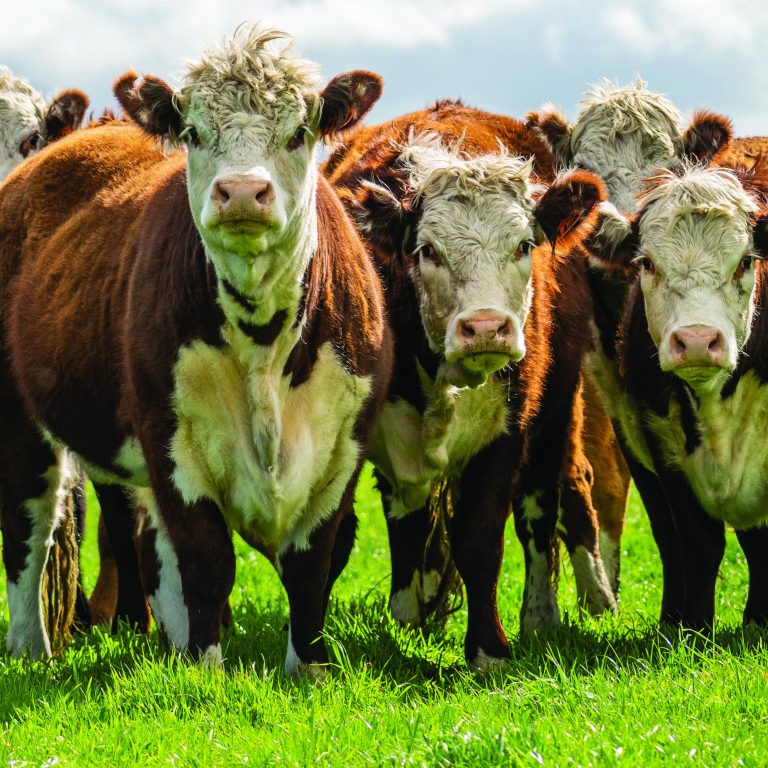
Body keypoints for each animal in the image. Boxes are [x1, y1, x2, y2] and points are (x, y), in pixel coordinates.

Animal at [0, 26, 391, 677]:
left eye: (299, 131)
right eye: (192, 132)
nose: (242, 192)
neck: (263, 343)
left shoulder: (343, 449)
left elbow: (310, 567)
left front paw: (307, 669)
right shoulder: (170, 440)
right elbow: (208, 561)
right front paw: (207, 668)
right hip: (20, 419)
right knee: (31, 525)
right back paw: (32, 649)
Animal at [324, 100, 612, 667]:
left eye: (524, 245)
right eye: (428, 250)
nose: (485, 327)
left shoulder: (507, 435)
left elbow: (481, 539)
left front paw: (488, 649)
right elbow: (351, 532)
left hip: (556, 412)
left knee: (546, 502)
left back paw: (553, 611)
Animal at [582, 162, 768, 629]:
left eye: (746, 261)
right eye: (647, 263)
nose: (698, 340)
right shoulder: (662, 447)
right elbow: (697, 543)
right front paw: (694, 630)